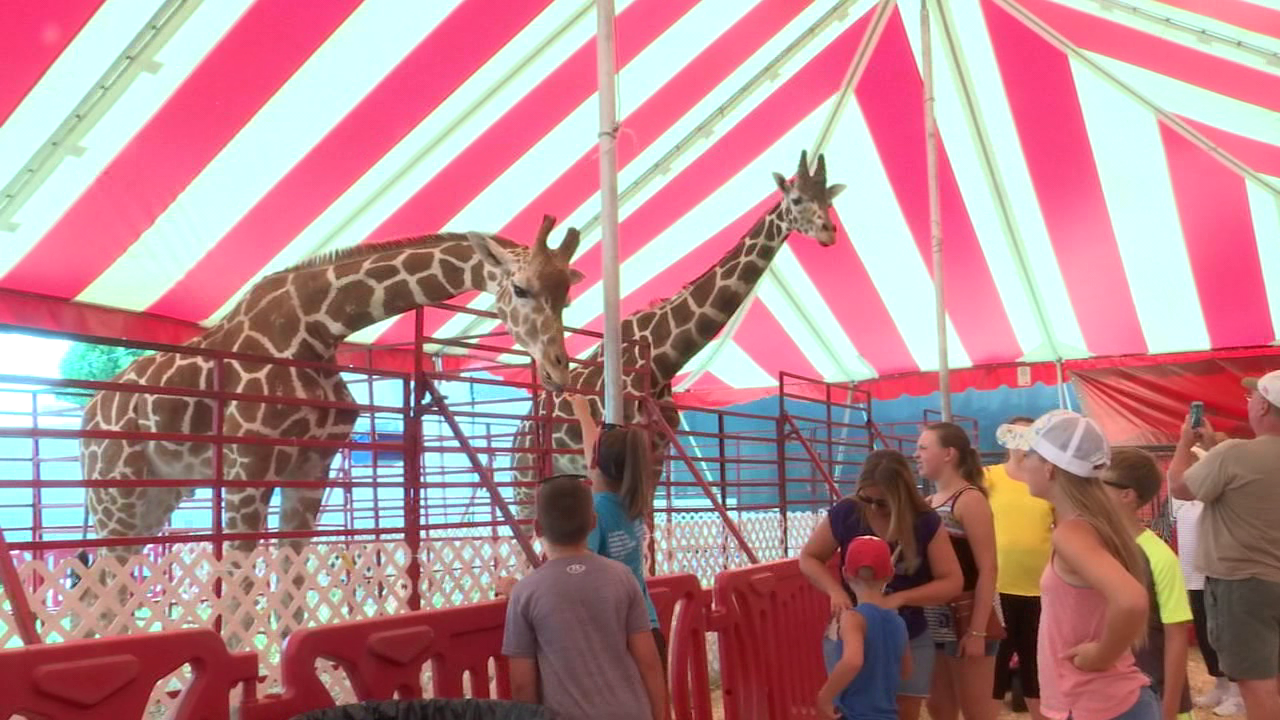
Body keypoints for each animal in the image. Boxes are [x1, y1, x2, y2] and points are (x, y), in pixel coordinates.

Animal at [78, 212, 581, 638]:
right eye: (521, 289)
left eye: (565, 296)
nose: (558, 370)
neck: (316, 327)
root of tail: (88, 415)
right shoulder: (247, 468)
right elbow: (240, 600)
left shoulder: (310, 470)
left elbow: (292, 593)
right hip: (115, 490)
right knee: (103, 593)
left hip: (157, 494)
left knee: (96, 589)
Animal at [509, 149, 849, 515]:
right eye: (797, 198)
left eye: (828, 199)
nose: (829, 232)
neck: (662, 359)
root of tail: (516, 436)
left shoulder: (657, 452)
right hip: (525, 480)